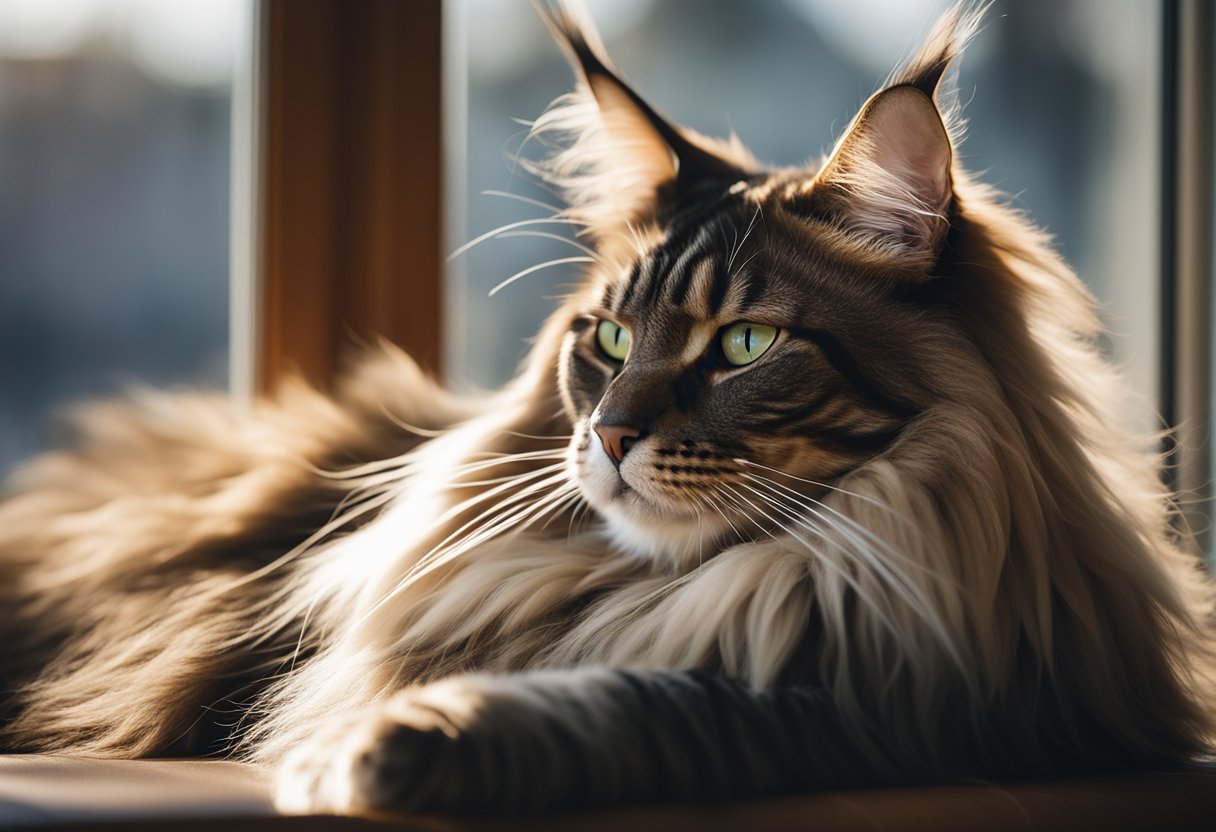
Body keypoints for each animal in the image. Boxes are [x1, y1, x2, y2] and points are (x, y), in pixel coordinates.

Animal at [2, 0, 1216, 817]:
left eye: (744, 345)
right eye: (612, 339)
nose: (612, 435)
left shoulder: (930, 692)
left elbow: (658, 701)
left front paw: (399, 743)